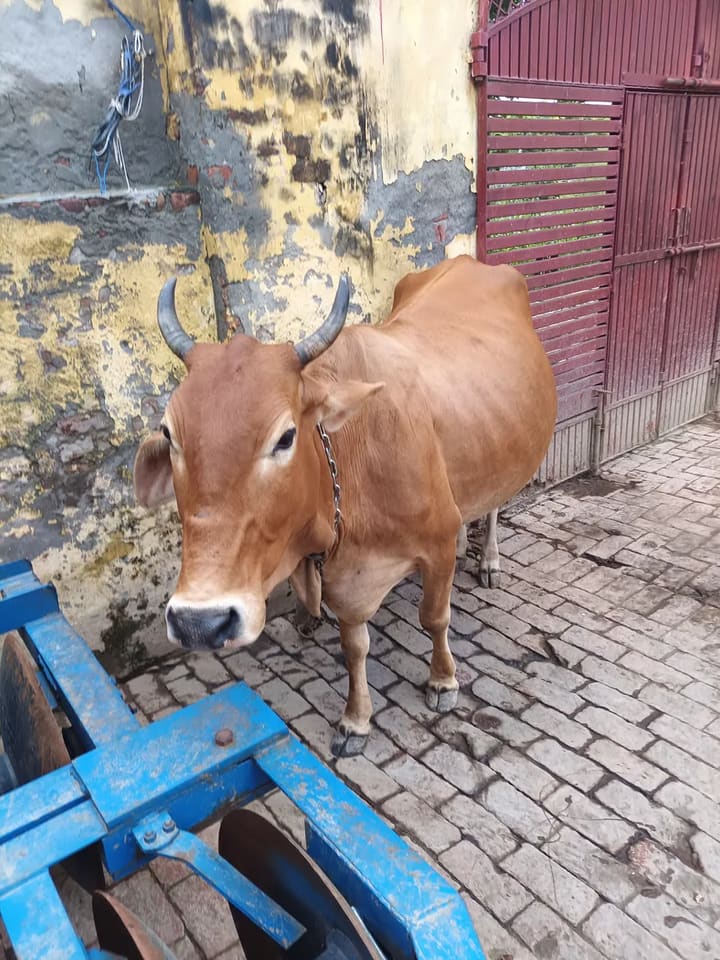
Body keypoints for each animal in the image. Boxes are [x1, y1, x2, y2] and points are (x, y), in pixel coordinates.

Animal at [134, 255, 557, 756]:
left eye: (285, 437)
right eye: (169, 435)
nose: (201, 622)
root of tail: (469, 259)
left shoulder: (431, 547)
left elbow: (434, 617)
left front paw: (442, 681)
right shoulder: (342, 576)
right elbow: (354, 646)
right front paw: (357, 720)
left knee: (491, 507)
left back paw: (488, 560)